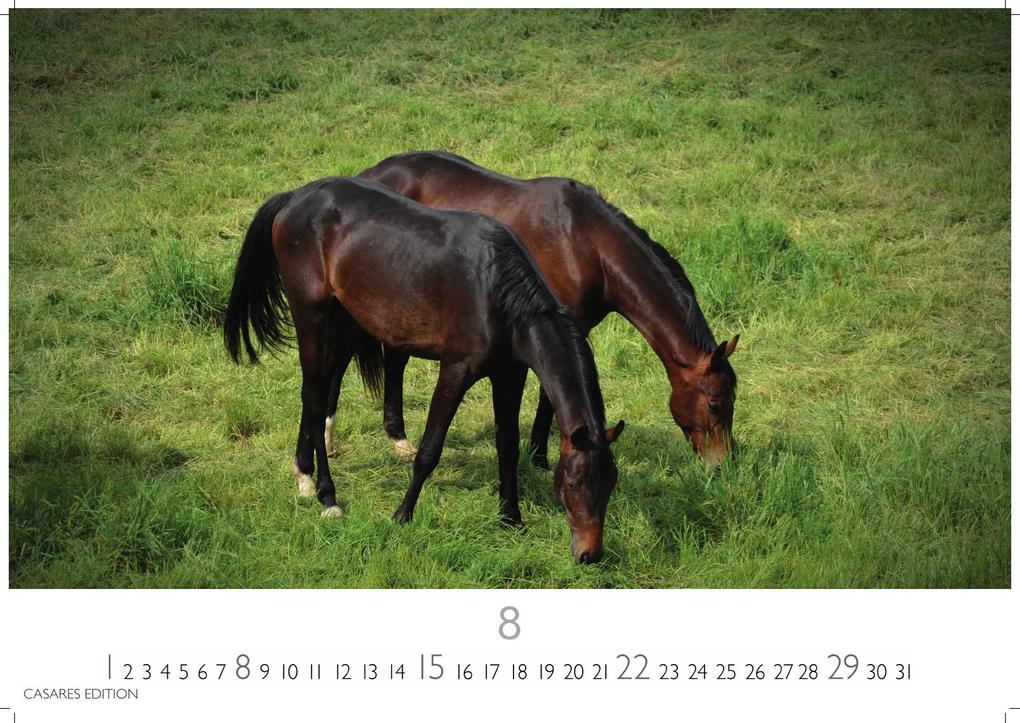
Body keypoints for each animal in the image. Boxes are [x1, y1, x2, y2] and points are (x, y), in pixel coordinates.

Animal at [223, 177, 625, 564]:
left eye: (610, 484)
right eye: (573, 484)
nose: (590, 555)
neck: (498, 291)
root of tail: (295, 197)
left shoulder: (509, 375)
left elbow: (507, 445)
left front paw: (511, 518)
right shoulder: (455, 371)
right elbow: (430, 449)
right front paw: (402, 515)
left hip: (341, 317)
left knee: (315, 393)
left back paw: (303, 475)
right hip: (311, 316)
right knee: (315, 395)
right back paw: (326, 495)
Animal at [354, 151, 738, 468]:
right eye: (715, 404)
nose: (723, 465)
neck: (587, 243)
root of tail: (370, 174)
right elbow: (547, 395)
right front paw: (539, 455)